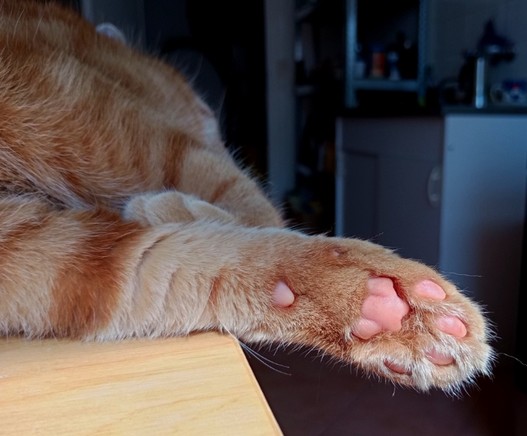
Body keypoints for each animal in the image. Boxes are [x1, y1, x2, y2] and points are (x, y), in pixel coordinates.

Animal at [0, 0, 496, 394]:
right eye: (207, 116)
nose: (222, 141)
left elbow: (234, 227)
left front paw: (387, 310)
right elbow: (176, 258)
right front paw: (377, 303)